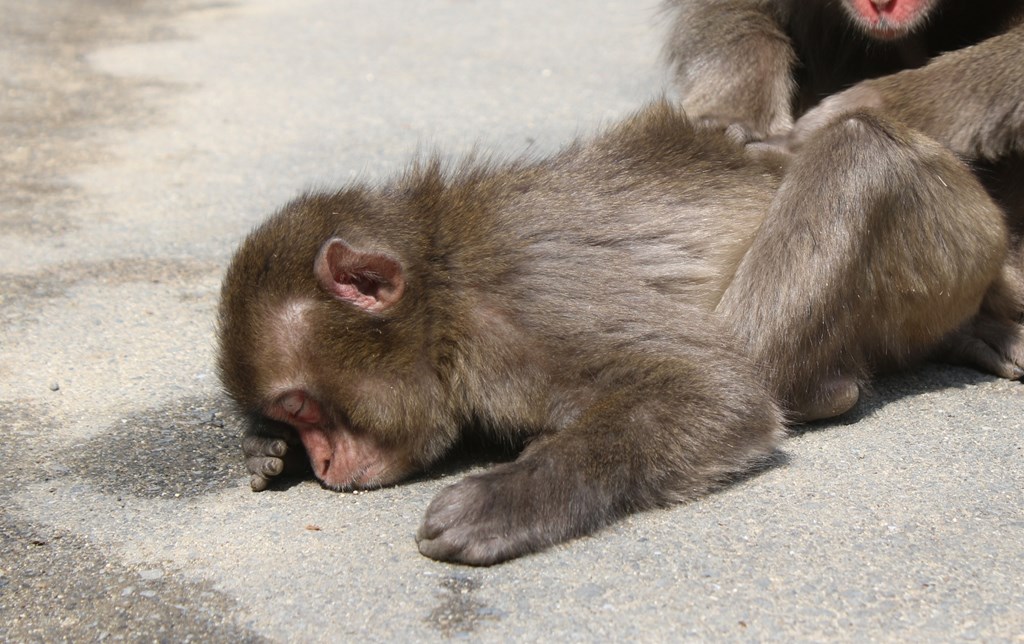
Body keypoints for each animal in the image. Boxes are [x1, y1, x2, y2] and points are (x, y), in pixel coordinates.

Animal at [218, 104, 1007, 561]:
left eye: (302, 404)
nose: (323, 463)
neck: (441, 295)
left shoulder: (528, 301)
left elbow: (715, 391)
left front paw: (505, 500)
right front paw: (266, 451)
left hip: (955, 231)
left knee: (855, 149)